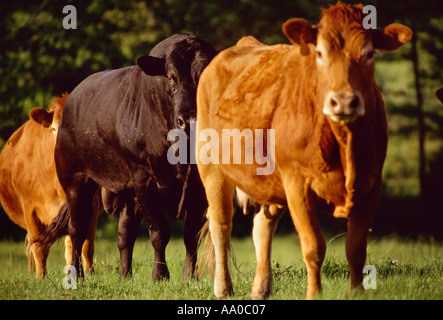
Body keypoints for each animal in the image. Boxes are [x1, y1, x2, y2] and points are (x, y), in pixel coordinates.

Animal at [0, 94, 99, 278]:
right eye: (54, 129)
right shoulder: (29, 209)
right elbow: (39, 248)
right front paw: (41, 278)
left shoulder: (90, 206)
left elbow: (82, 245)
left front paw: (86, 274)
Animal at [53, 33, 217, 280]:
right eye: (171, 77)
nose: (189, 120)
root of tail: (72, 98)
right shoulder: (144, 178)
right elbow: (159, 231)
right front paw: (160, 275)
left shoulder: (198, 184)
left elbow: (191, 234)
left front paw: (189, 276)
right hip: (74, 179)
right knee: (76, 229)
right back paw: (75, 275)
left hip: (130, 196)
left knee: (124, 232)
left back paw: (125, 275)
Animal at [198, 2, 412, 298]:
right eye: (320, 52)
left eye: (369, 54)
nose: (343, 101)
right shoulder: (297, 184)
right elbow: (314, 247)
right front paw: (315, 293)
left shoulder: (372, 185)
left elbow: (356, 249)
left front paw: (357, 292)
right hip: (211, 167)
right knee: (221, 223)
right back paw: (223, 288)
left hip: (270, 183)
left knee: (262, 227)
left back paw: (261, 288)